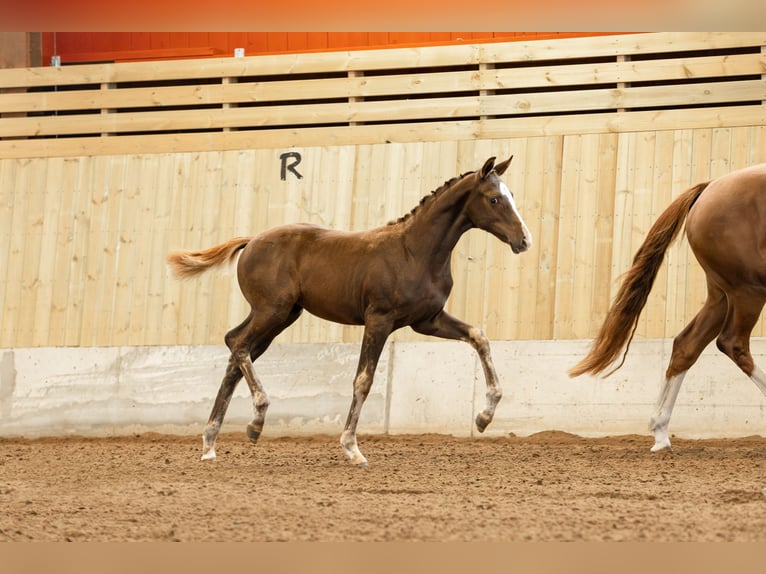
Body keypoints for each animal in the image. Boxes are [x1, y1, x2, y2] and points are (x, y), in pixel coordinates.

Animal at [166, 155, 536, 466]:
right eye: (494, 199)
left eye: (512, 194)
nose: (524, 241)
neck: (415, 252)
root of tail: (252, 240)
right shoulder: (379, 319)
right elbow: (363, 379)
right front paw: (352, 447)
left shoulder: (427, 321)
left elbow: (479, 337)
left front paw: (484, 417)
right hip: (272, 311)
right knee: (238, 345)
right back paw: (255, 421)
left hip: (282, 316)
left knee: (234, 350)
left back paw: (210, 443)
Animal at [572, 164, 766, 452]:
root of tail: (709, 188)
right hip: (747, 290)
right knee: (733, 344)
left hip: (722, 296)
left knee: (686, 345)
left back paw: (660, 432)